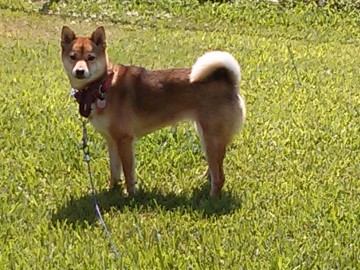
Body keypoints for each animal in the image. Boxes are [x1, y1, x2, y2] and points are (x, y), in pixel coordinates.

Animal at [60, 25, 246, 196]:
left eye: (90, 57)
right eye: (73, 57)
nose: (80, 71)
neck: (102, 85)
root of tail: (228, 82)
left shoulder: (124, 140)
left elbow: (128, 173)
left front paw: (130, 196)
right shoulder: (111, 141)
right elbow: (114, 171)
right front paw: (111, 190)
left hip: (211, 136)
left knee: (220, 176)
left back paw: (210, 199)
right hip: (206, 135)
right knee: (215, 167)